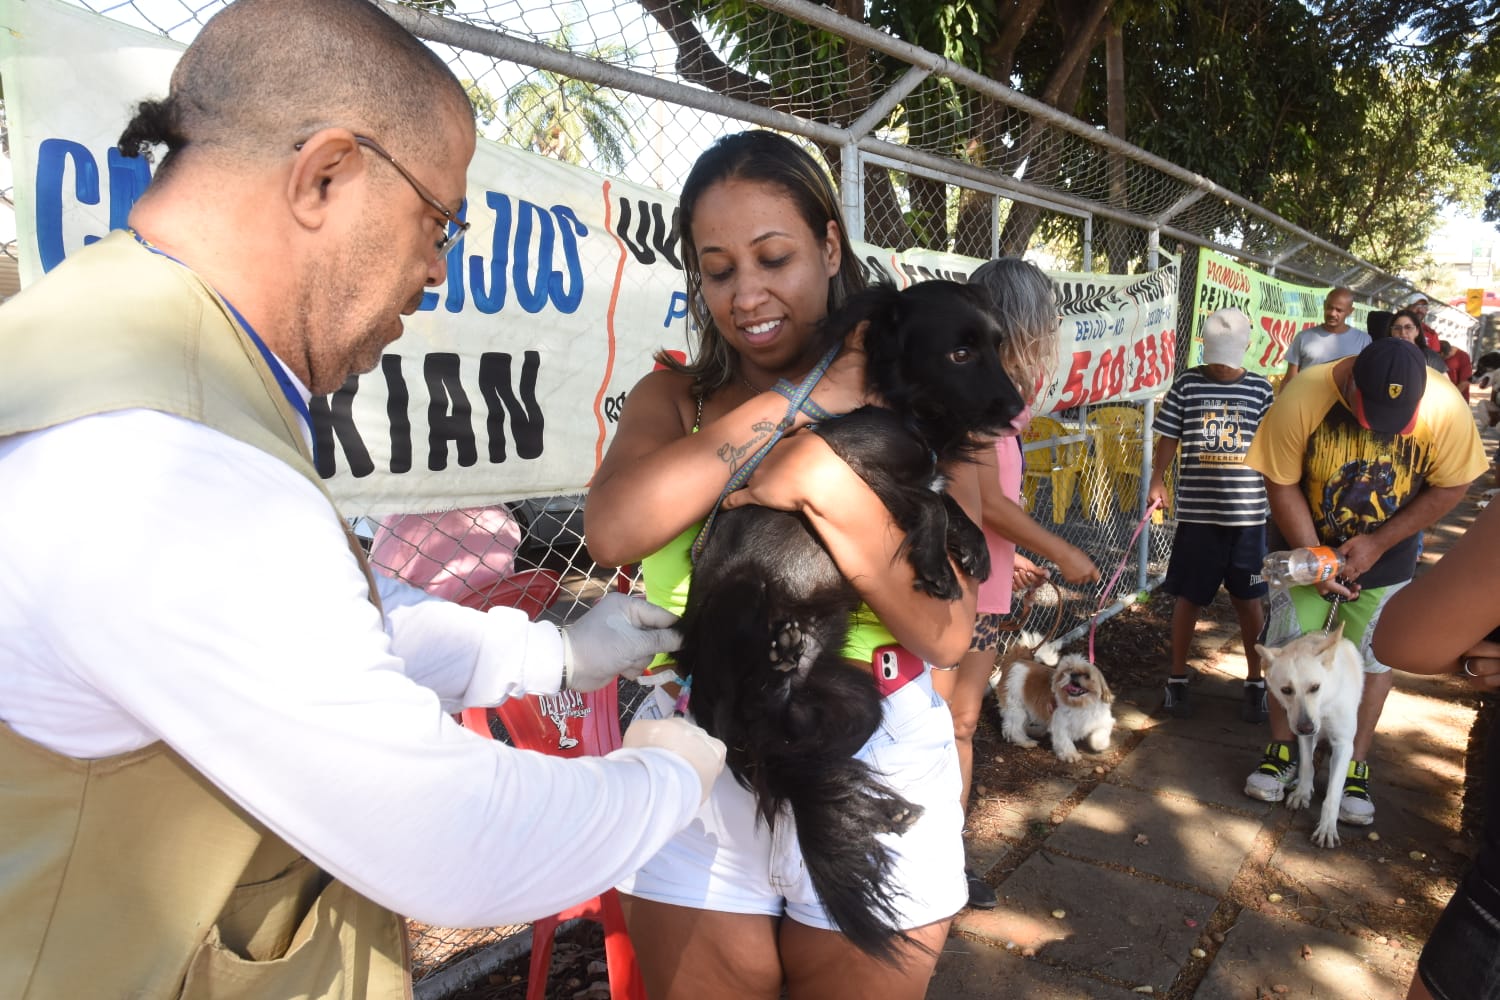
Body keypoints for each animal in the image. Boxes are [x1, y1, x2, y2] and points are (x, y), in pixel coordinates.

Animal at [675, 277, 1026, 959]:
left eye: (997, 346)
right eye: (960, 353)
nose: (1018, 408)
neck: (911, 415)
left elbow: (943, 493)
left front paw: (970, 548)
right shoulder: (850, 468)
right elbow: (927, 500)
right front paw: (939, 566)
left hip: (858, 702)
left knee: (801, 757)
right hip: (743, 597)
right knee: (770, 736)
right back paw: (776, 666)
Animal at [1260, 626, 1368, 845]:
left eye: (1315, 687)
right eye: (1286, 690)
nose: (1306, 727)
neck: (1324, 705)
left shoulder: (1343, 745)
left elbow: (1333, 792)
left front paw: (1327, 827)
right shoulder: (1304, 736)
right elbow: (1306, 765)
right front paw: (1302, 792)